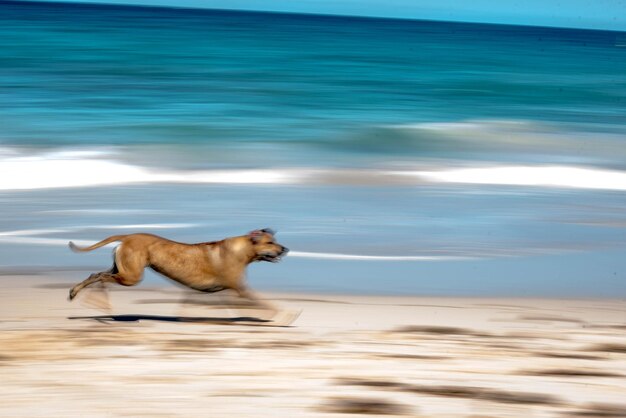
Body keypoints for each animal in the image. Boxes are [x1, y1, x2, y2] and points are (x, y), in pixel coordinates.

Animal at [68, 229, 288, 310]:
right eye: (270, 242)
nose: (285, 249)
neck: (242, 250)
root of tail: (128, 235)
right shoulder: (241, 289)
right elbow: (267, 304)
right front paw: (285, 314)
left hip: (122, 269)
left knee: (96, 274)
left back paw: (74, 292)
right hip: (131, 276)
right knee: (103, 277)